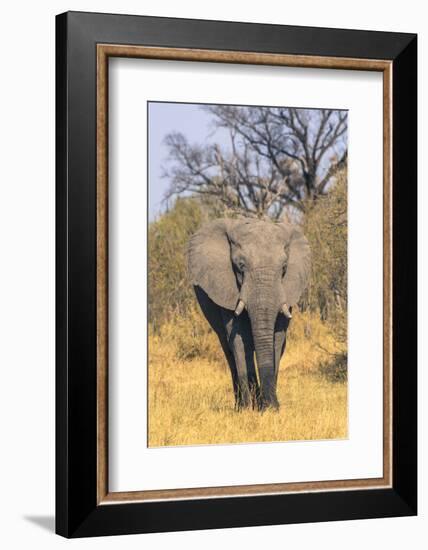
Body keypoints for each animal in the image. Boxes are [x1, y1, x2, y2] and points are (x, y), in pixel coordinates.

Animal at [187, 218, 310, 412]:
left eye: (284, 268)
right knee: (228, 350)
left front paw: (270, 408)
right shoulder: (227, 289)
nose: (270, 405)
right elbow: (239, 339)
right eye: (240, 266)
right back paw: (240, 405)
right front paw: (248, 410)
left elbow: (277, 339)